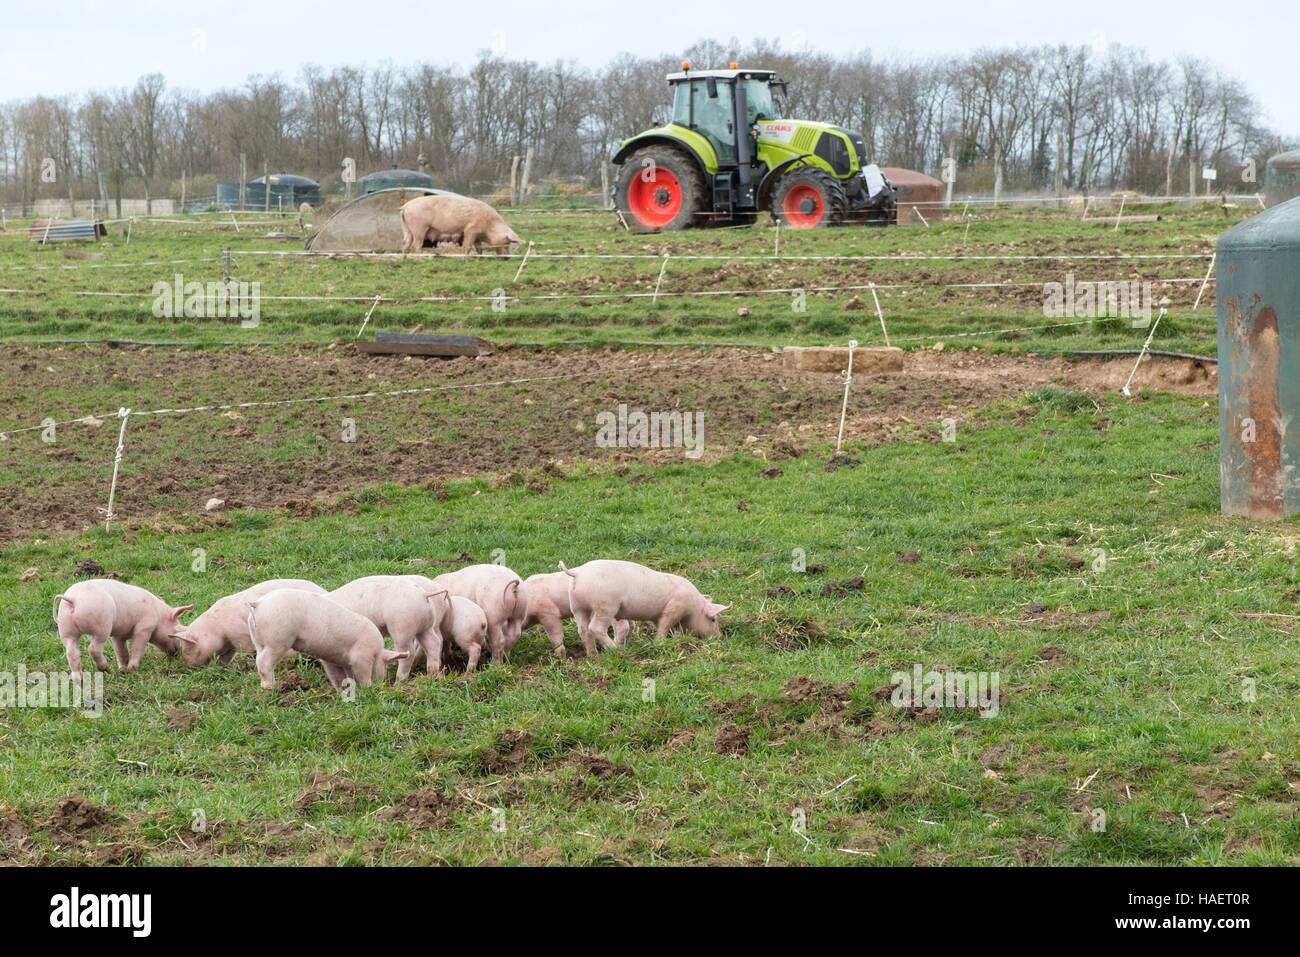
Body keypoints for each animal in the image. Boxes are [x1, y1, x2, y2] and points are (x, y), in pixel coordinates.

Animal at [54, 579, 192, 670]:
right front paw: (132, 669)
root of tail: (73, 599)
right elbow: (137, 647)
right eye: (175, 631)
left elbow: (121, 651)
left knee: (71, 653)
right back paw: (106, 668)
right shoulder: (145, 627)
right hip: (102, 626)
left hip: (66, 629)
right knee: (93, 648)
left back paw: (81, 680)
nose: (177, 653)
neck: (159, 614)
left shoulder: (118, 634)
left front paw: (123, 670)